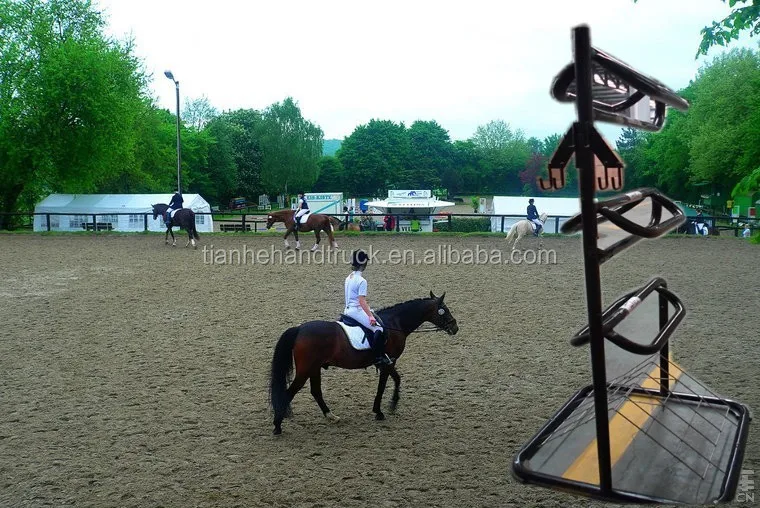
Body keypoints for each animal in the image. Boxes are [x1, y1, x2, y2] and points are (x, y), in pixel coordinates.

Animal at [268, 291, 459, 435]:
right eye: (444, 310)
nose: (455, 328)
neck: (394, 323)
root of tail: (299, 329)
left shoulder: (387, 362)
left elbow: (395, 380)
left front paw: (390, 405)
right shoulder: (387, 362)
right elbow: (386, 384)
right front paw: (383, 410)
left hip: (314, 368)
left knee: (316, 392)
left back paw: (331, 416)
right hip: (306, 370)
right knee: (289, 393)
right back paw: (277, 425)